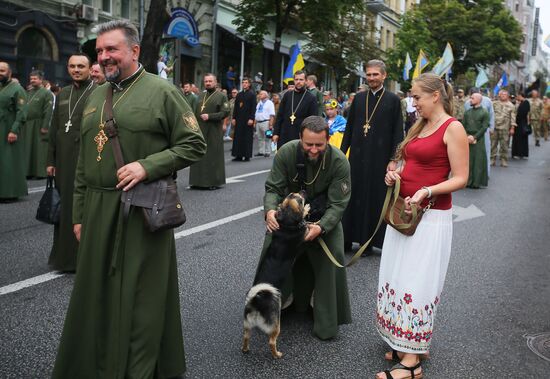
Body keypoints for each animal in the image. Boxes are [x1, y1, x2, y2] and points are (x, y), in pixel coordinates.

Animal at [243, 193, 310, 360]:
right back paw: (277, 354)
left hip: (247, 325)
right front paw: (307, 209)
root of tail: (256, 300)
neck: (286, 224)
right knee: (271, 342)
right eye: (300, 199)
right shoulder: (305, 234)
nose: (303, 190)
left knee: (246, 337)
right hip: (275, 325)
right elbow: (306, 223)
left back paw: (245, 349)